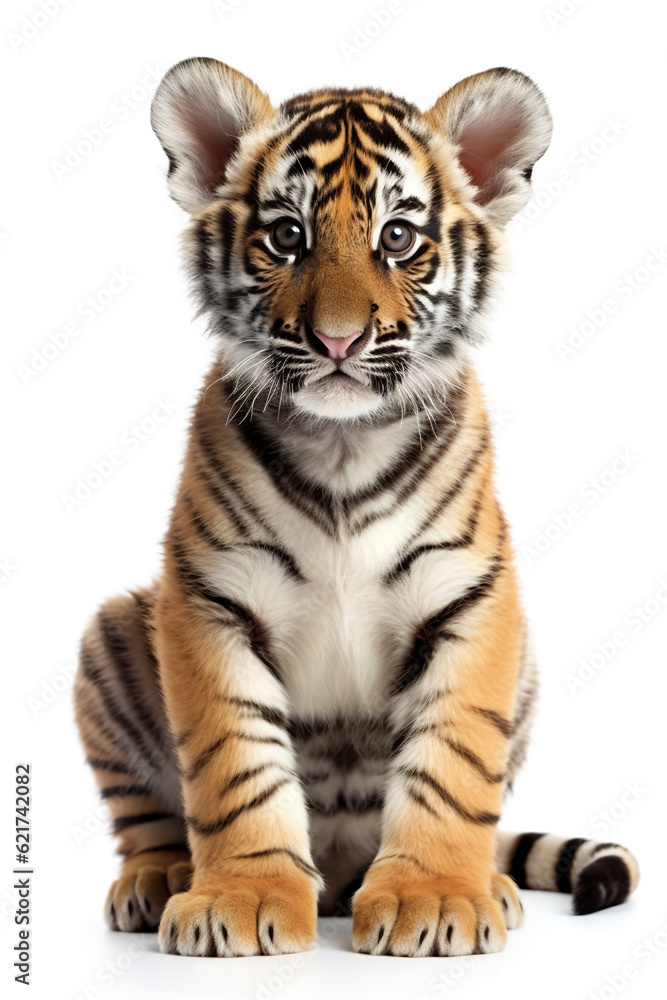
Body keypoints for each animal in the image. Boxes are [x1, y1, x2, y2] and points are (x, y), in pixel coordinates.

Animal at [73, 57, 639, 958]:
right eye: (286, 237)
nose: (337, 340)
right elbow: (235, 765)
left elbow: (451, 765)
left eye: (397, 239)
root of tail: (340, 870)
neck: (343, 447)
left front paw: (435, 899)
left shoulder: (471, 601)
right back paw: (159, 880)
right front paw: (239, 897)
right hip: (114, 631)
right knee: (148, 820)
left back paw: (490, 883)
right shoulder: (209, 599)